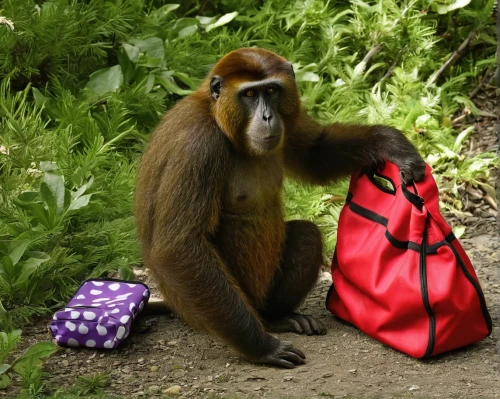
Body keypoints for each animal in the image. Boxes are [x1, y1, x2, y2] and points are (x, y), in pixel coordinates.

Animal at [136, 47, 426, 368]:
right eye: (250, 95)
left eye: (272, 91)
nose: (267, 116)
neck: (220, 124)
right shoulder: (198, 146)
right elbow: (178, 249)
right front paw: (261, 346)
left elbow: (316, 154)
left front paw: (391, 144)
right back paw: (264, 327)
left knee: (307, 234)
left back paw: (276, 317)